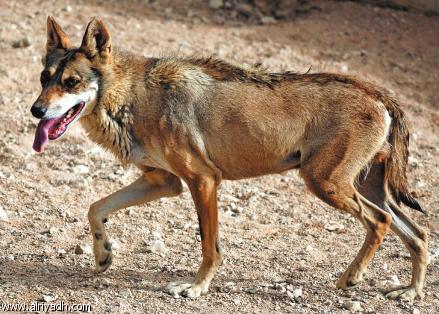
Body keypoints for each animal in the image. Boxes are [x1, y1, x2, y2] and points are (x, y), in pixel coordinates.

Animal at [31, 17, 430, 302]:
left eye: (71, 82)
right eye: (44, 78)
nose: (36, 110)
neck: (136, 97)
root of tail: (378, 91)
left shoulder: (203, 181)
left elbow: (210, 247)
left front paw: (195, 288)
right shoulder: (165, 182)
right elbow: (95, 208)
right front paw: (103, 255)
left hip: (325, 184)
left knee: (379, 223)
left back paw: (351, 278)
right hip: (361, 188)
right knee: (419, 233)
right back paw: (410, 292)